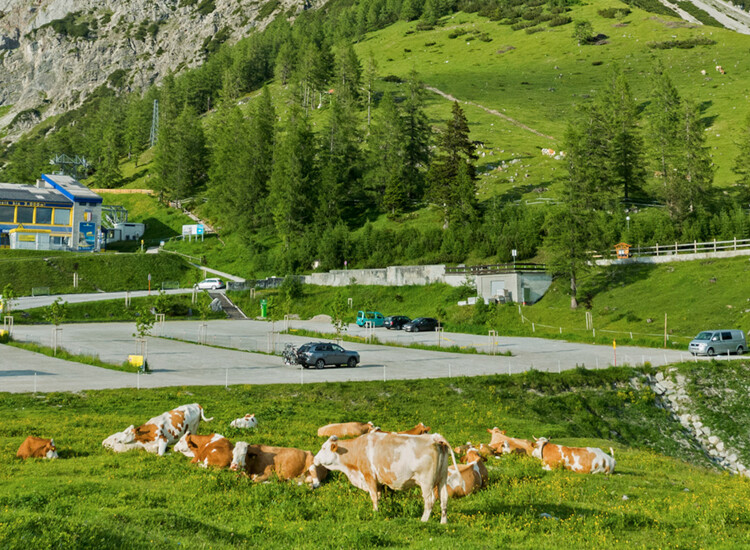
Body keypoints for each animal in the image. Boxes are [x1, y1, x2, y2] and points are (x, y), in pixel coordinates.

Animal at [312, 432, 456, 528]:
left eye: (323, 448)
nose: (314, 458)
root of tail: (434, 437)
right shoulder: (378, 482)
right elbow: (379, 497)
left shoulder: (369, 476)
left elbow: (374, 497)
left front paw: (374, 514)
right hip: (442, 479)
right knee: (444, 499)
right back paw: (443, 523)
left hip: (426, 482)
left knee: (429, 501)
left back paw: (423, 520)